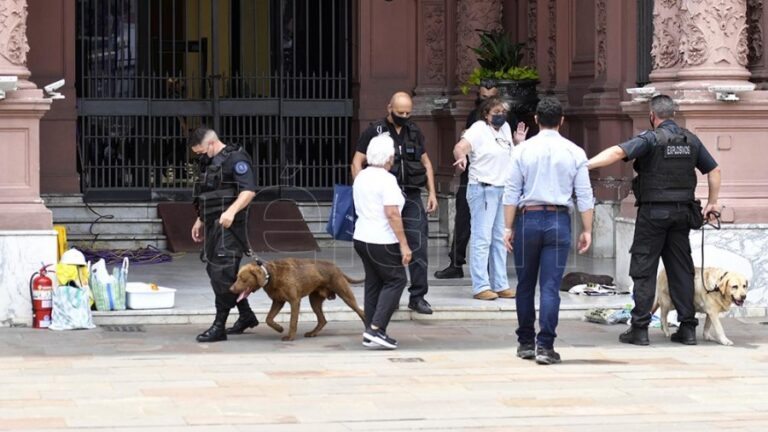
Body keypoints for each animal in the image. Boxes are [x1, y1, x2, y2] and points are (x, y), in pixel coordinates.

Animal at [230, 260, 364, 340]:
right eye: (237, 277)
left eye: (243, 279)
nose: (230, 289)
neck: (270, 275)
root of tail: (337, 268)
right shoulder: (278, 301)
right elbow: (269, 319)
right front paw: (279, 328)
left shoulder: (294, 301)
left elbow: (292, 321)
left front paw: (290, 337)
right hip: (314, 300)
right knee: (322, 320)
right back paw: (312, 333)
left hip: (345, 294)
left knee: (361, 312)